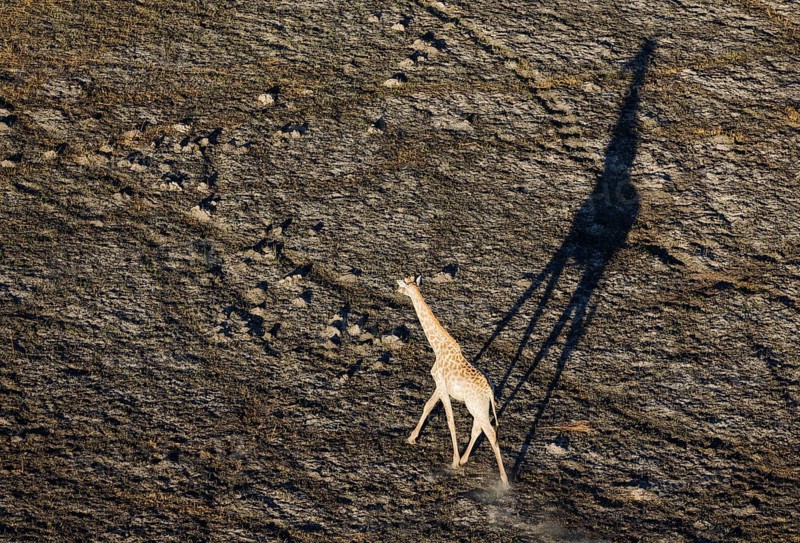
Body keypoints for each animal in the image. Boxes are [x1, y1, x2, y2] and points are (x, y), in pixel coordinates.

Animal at [396, 275, 510, 489]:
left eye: (403, 285)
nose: (396, 290)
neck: (438, 347)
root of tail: (490, 392)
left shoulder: (443, 387)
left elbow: (449, 420)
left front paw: (454, 462)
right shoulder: (440, 385)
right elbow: (427, 406)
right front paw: (411, 438)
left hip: (476, 407)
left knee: (491, 433)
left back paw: (504, 481)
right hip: (478, 407)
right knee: (478, 428)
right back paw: (466, 459)